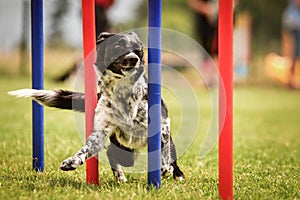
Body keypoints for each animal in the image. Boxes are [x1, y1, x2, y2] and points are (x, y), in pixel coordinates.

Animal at [9, 32, 184, 182]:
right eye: (118, 46)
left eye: (138, 50)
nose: (133, 58)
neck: (122, 92)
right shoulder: (101, 130)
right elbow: (87, 148)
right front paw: (72, 161)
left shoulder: (163, 124)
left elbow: (164, 151)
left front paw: (165, 168)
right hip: (125, 151)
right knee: (111, 153)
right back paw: (120, 177)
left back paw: (177, 174)